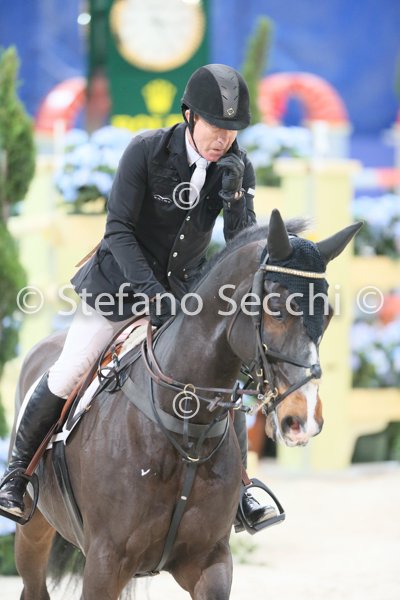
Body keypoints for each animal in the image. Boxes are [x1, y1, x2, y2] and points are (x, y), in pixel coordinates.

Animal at [9, 209, 361, 599]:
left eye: (327, 313)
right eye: (277, 309)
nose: (303, 420)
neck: (185, 428)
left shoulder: (210, 561)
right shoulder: (104, 562)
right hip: (32, 530)